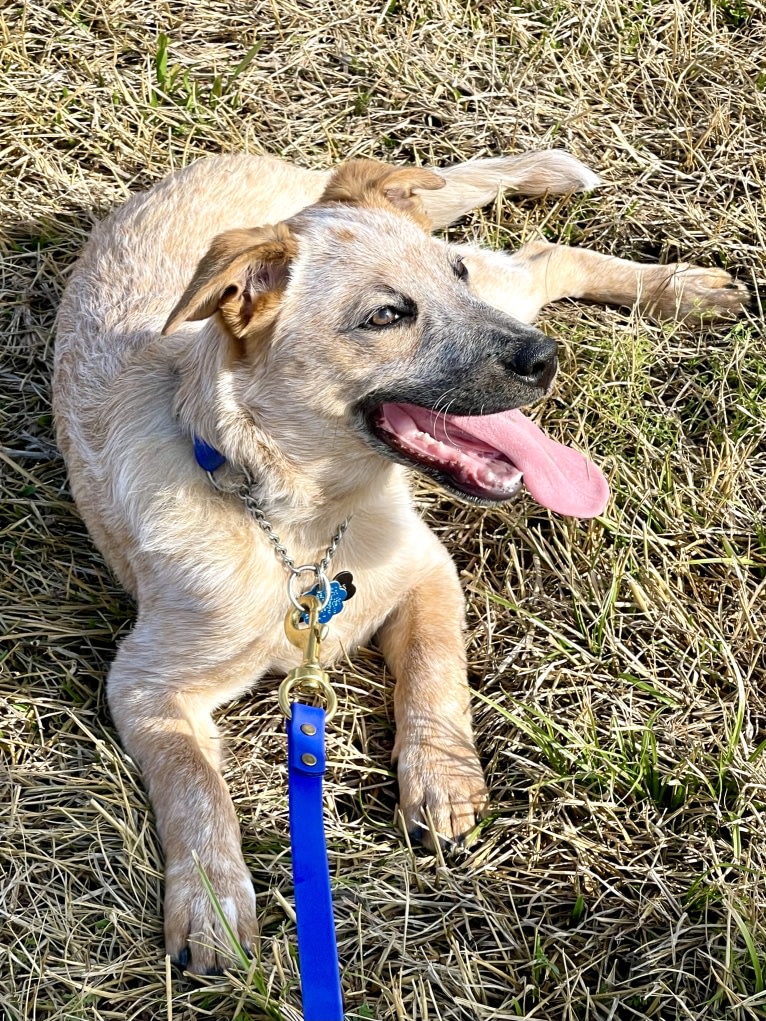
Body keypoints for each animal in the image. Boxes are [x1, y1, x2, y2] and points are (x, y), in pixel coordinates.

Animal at [54, 148, 751, 967]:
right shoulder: (145, 684)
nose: (546, 358)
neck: (301, 522)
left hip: (504, 285)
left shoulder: (427, 572)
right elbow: (193, 785)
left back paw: (679, 287)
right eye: (386, 315)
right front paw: (212, 904)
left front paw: (441, 779)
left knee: (541, 255)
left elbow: (434, 674)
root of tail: (239, 158)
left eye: (453, 275)